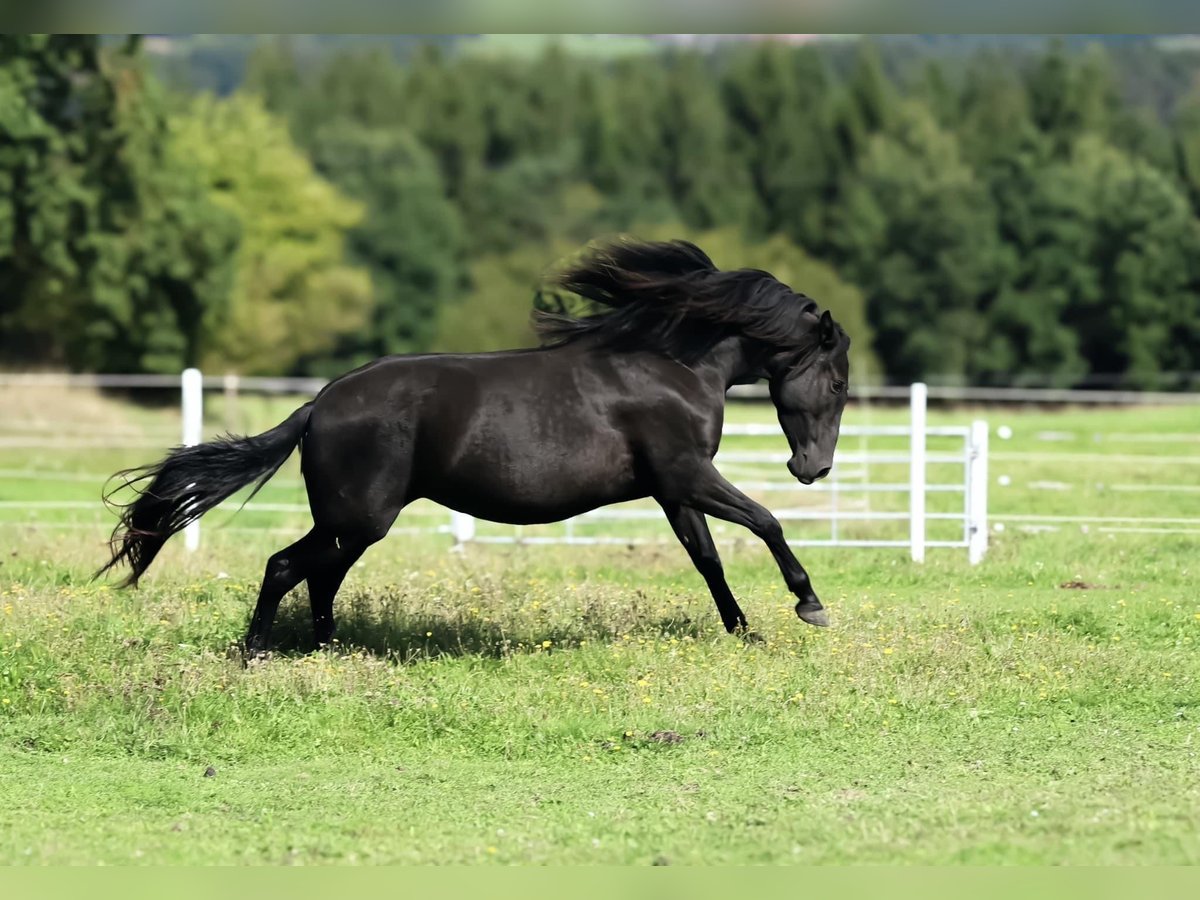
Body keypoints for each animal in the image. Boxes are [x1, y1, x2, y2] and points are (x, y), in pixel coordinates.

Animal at [100, 237, 854, 657]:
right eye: (840, 380)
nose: (812, 468)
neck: (672, 365)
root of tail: (319, 405)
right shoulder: (689, 475)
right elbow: (766, 522)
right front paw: (809, 606)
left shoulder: (673, 490)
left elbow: (707, 561)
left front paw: (744, 631)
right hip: (359, 517)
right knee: (288, 566)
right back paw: (257, 653)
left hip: (353, 523)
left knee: (320, 574)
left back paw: (331, 652)